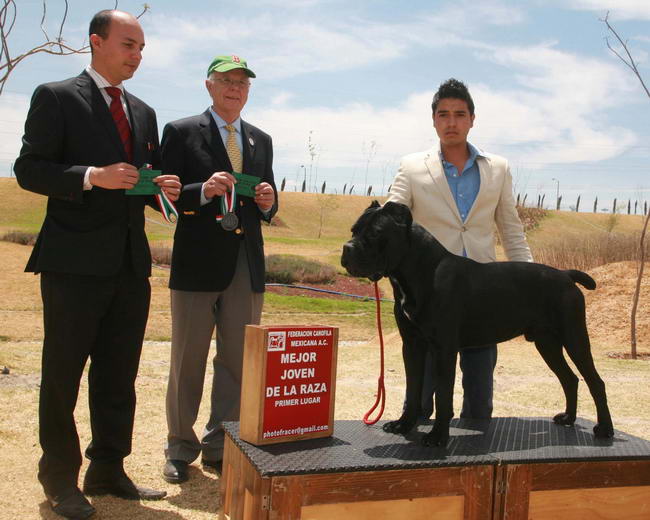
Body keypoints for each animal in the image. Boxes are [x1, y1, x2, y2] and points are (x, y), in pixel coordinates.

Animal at [340, 201, 612, 444]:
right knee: (570, 379)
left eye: (376, 233)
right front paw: (404, 424)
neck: (418, 272)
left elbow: (443, 395)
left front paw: (438, 437)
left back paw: (605, 429)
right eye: (353, 230)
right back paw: (568, 418)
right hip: (547, 344)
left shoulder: (444, 348)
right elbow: (413, 388)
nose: (347, 248)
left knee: (595, 382)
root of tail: (566, 274)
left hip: (574, 338)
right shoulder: (413, 345)